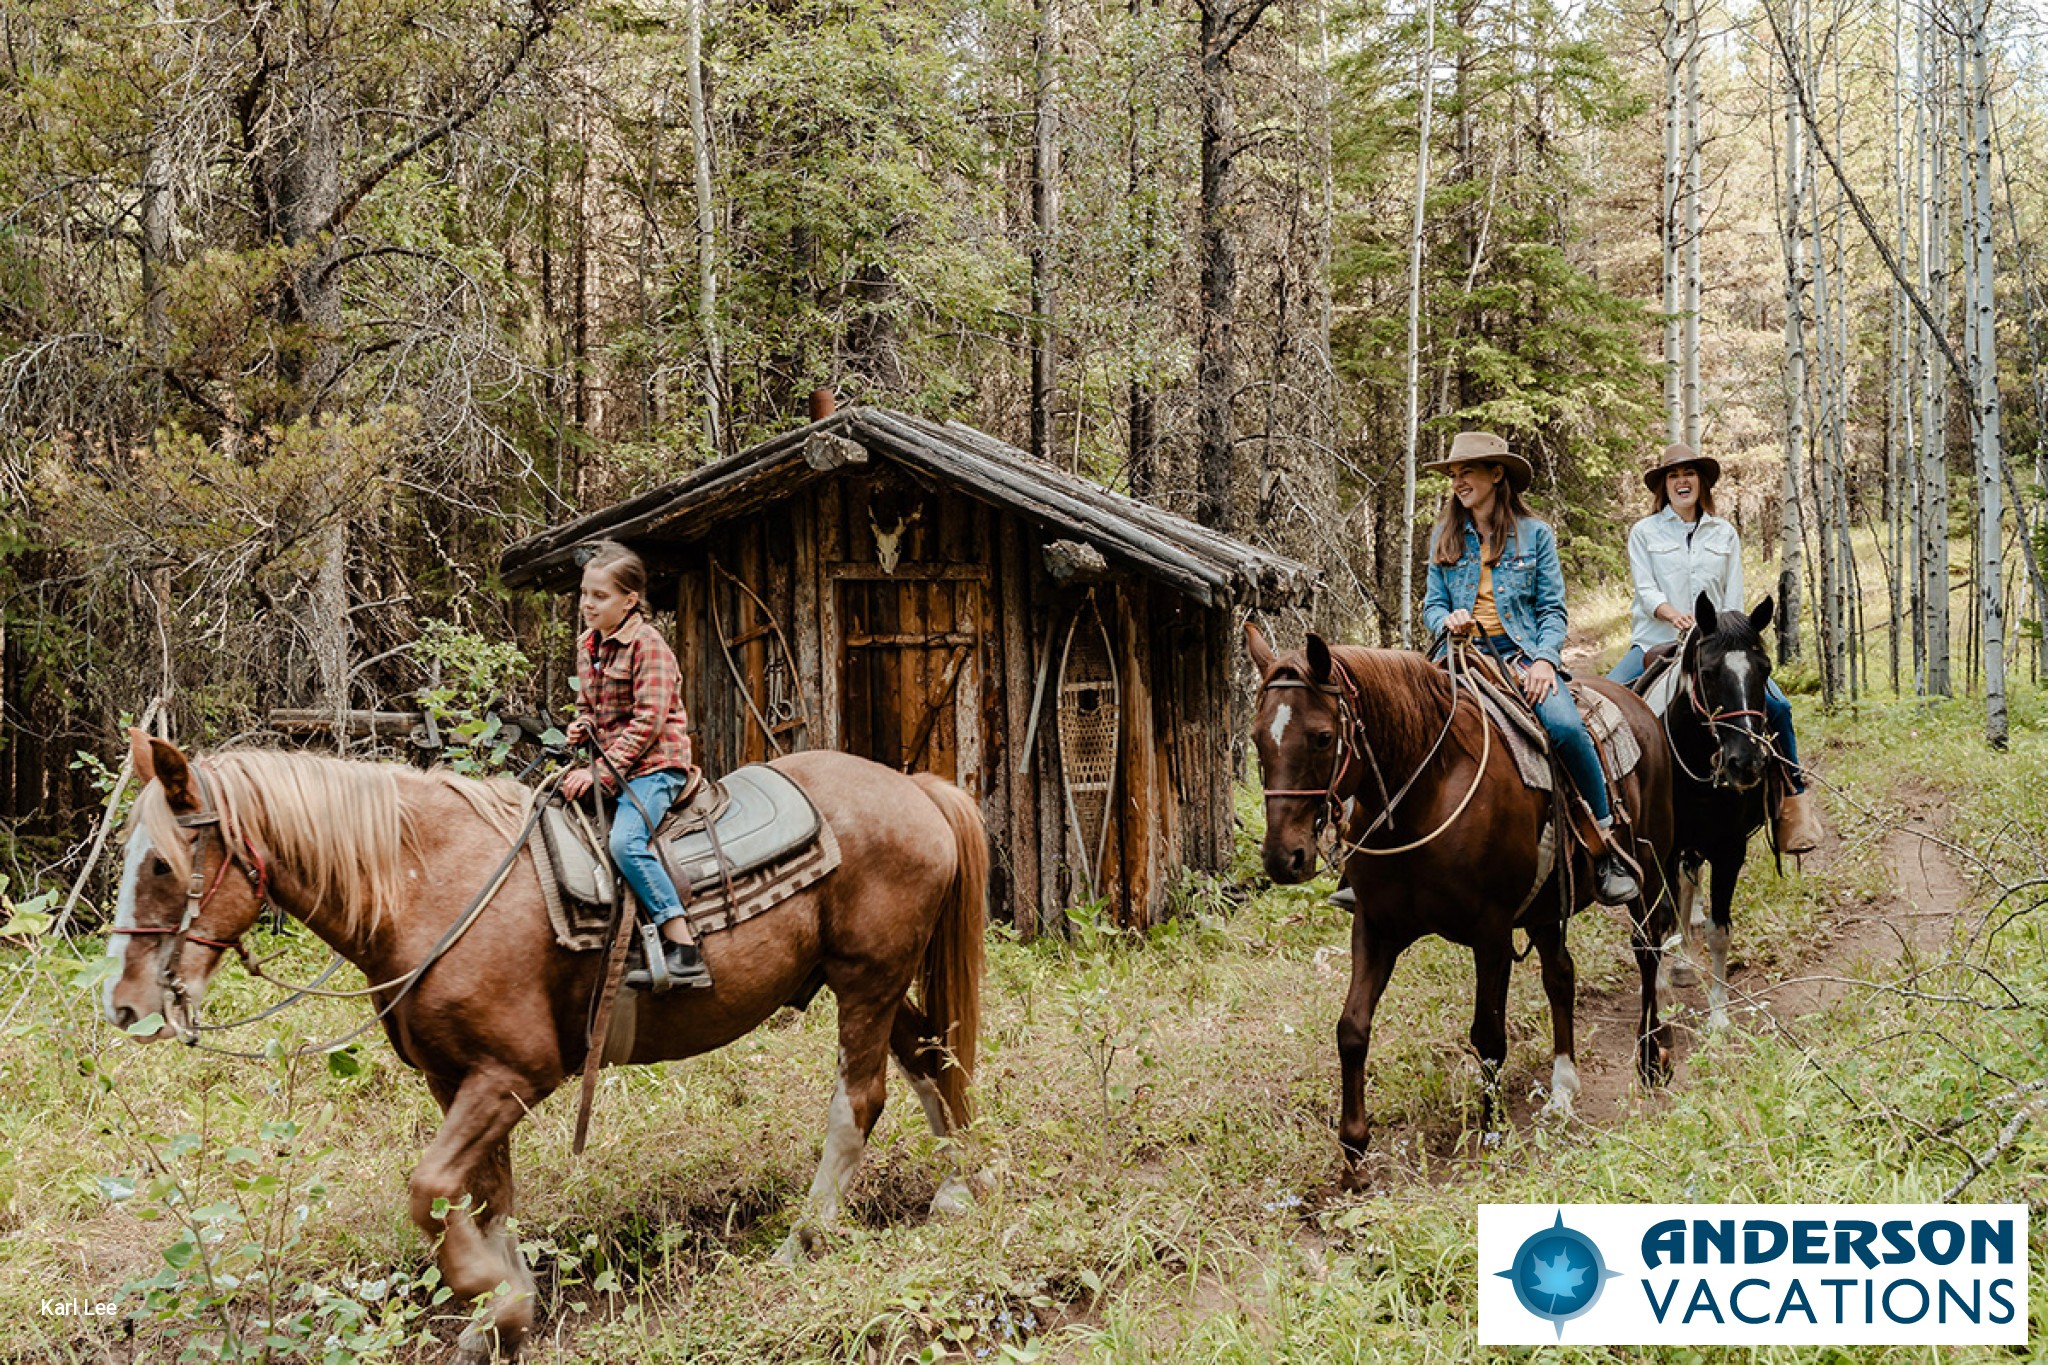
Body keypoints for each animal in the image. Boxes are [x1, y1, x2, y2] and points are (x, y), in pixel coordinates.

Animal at [103, 736, 983, 1365]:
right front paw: (497, 1317)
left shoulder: (516, 1074)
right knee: (930, 1060)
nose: (126, 1004)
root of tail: (916, 787)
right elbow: (485, 1195)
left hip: (865, 979)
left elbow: (429, 1189)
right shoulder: (457, 1078)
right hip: (875, 982)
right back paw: (958, 1190)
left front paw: (499, 1300)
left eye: (162, 864)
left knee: (861, 1097)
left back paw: (806, 1239)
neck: (430, 886)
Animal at [1245, 626, 1679, 1186]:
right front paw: (1354, 1152)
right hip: (1546, 907)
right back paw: (1563, 1086)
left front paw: (1490, 1134)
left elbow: (1487, 1034)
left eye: (1321, 736)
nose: (1284, 858)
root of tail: (1639, 703)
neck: (1424, 793)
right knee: (1560, 975)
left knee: (1647, 950)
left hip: (1650, 867)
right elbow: (1352, 1029)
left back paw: (1650, 1055)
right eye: (1258, 738)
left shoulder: (1490, 932)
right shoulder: (1375, 928)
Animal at [1646, 593, 1777, 1031]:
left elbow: (1719, 930)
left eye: (1765, 669)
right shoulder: (1664, 850)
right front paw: (1660, 998)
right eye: (1708, 672)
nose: (1746, 763)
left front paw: (1719, 1016)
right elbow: (1662, 919)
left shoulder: (1728, 848)